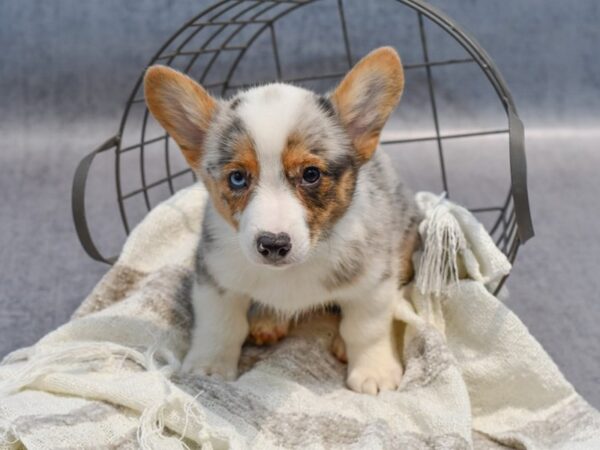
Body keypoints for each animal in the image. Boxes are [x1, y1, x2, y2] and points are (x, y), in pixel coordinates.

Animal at [144, 47, 418, 396]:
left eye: (311, 174)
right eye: (237, 178)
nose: (273, 244)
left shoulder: (374, 282)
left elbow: (366, 328)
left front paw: (374, 372)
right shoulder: (215, 277)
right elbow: (220, 325)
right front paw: (210, 367)